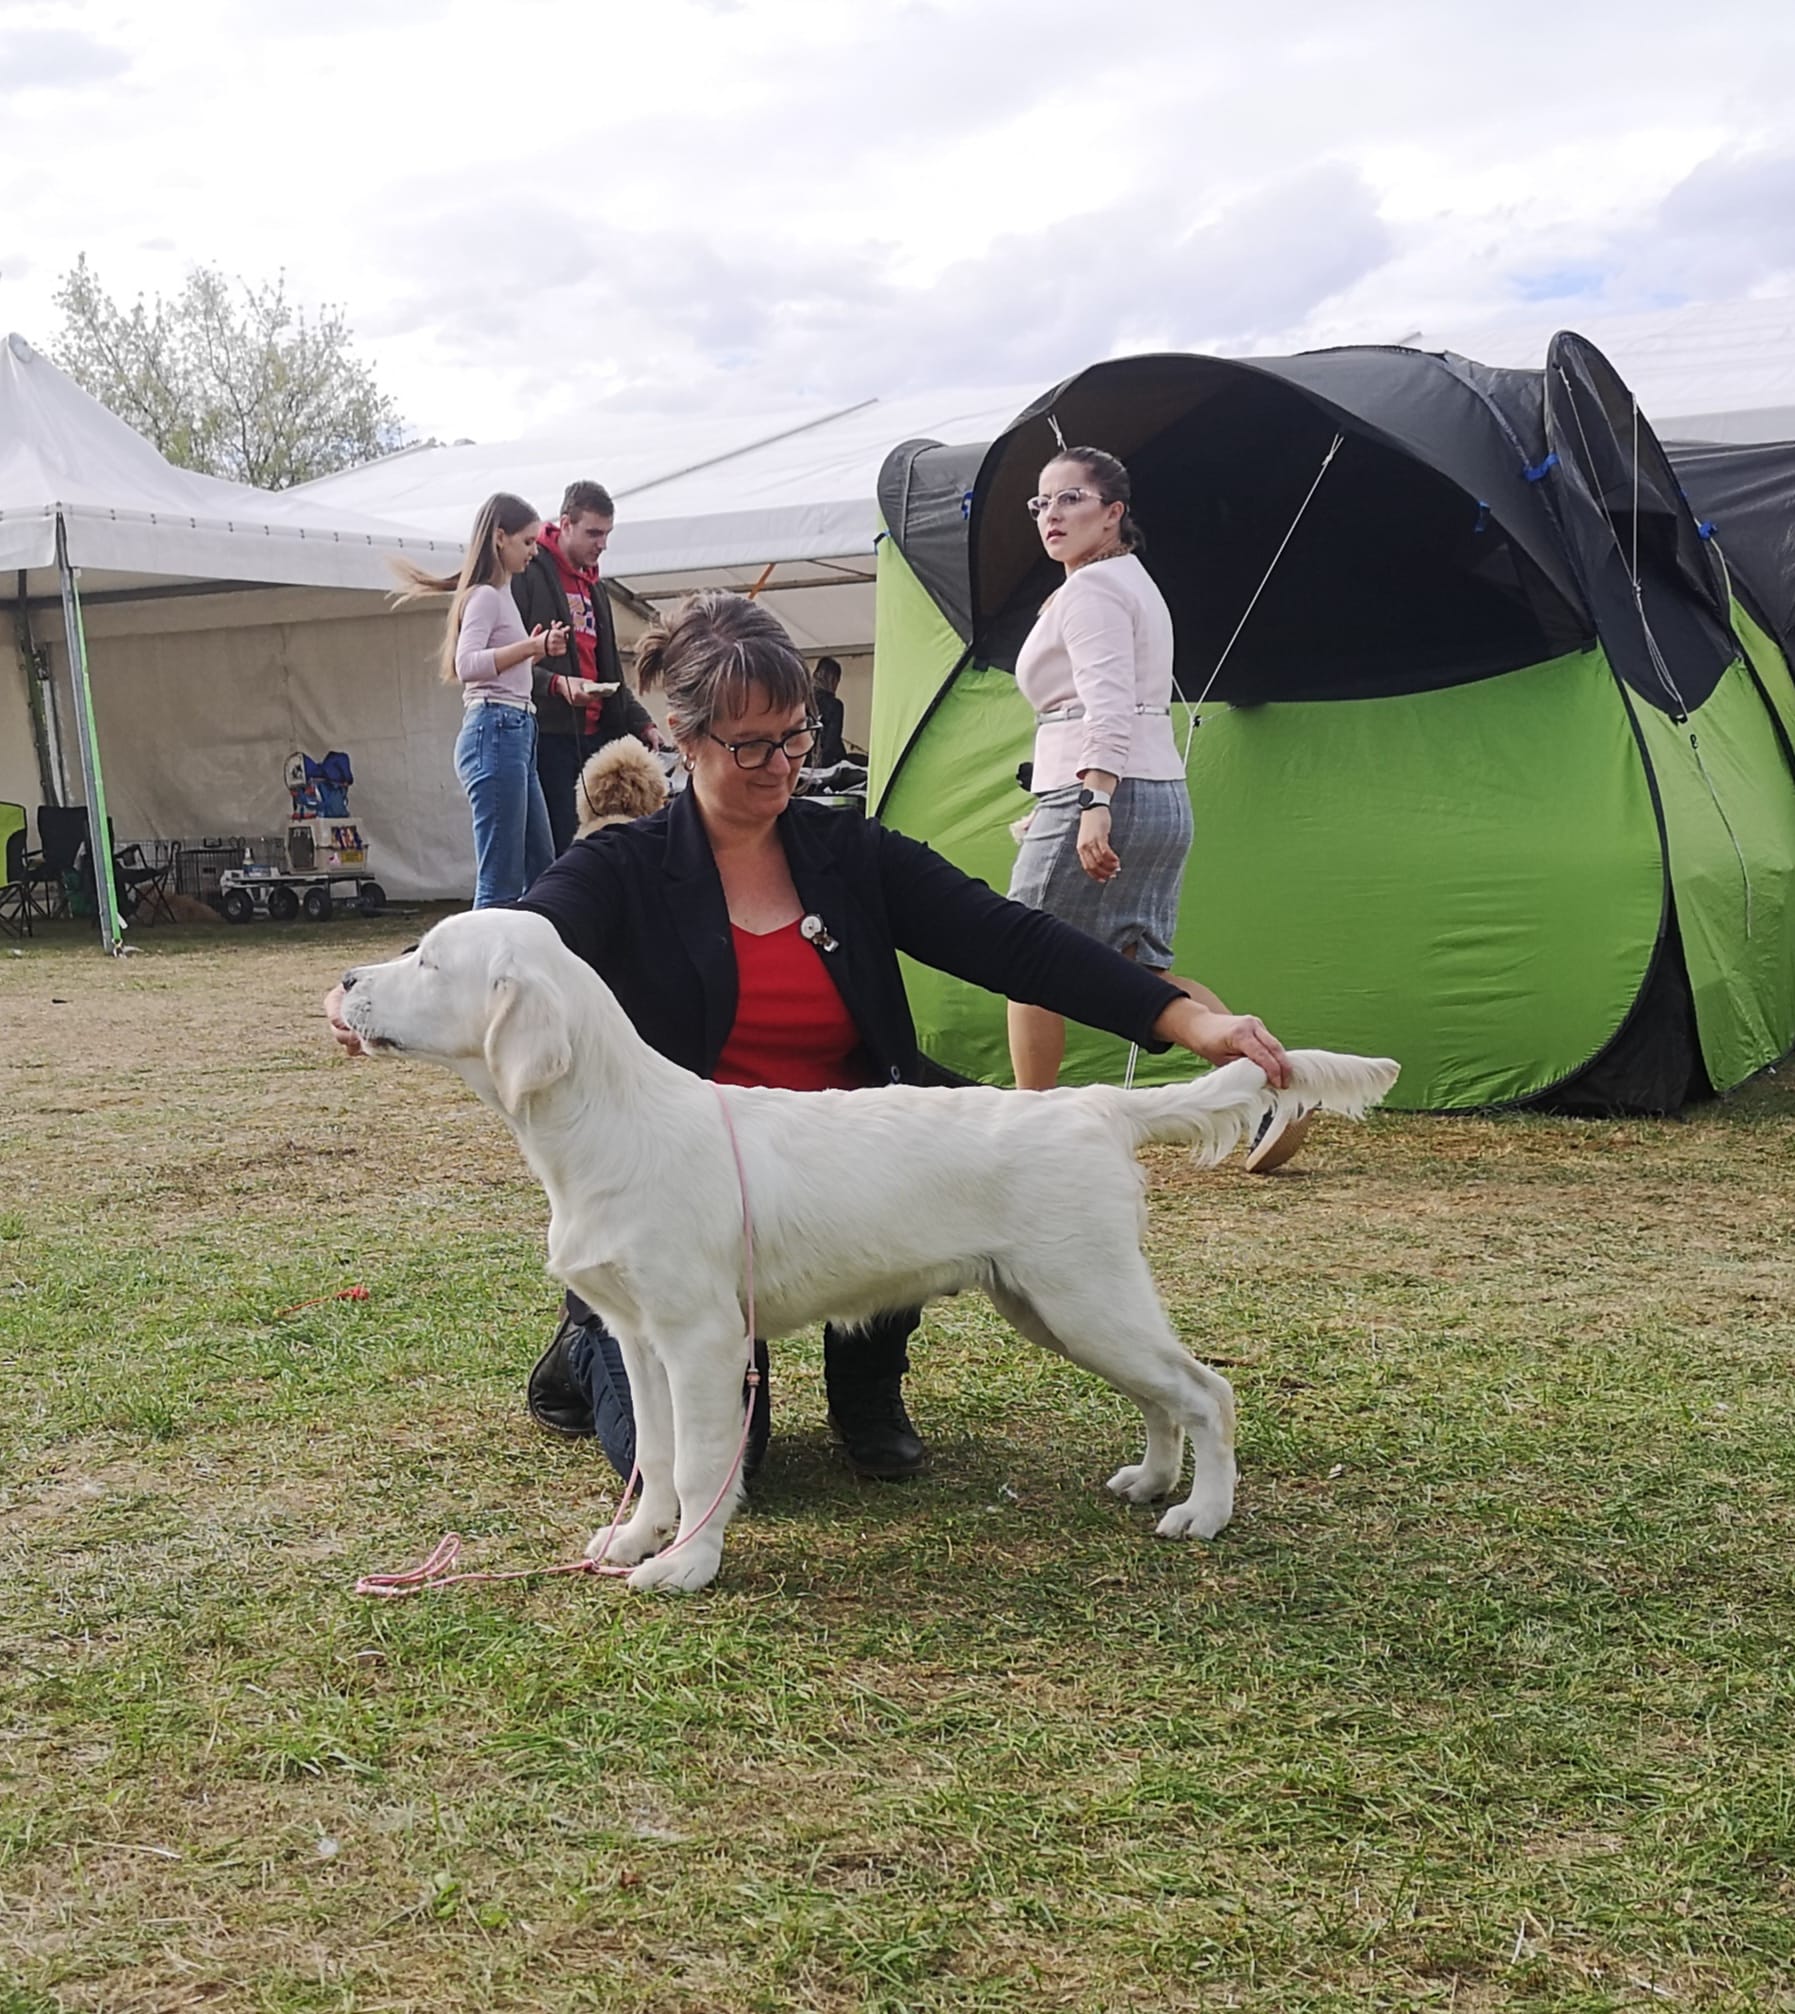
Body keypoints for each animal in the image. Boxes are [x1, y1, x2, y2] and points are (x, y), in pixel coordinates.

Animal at [340, 910, 1402, 1587]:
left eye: (428, 961)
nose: (345, 981)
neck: (608, 1122)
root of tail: (1093, 1104)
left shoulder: (702, 1339)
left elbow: (702, 1463)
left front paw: (688, 1564)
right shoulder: (637, 1338)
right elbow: (658, 1451)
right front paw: (636, 1540)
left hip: (1086, 1296)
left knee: (1205, 1391)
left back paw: (1202, 1513)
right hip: (1054, 1306)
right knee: (1162, 1397)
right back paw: (1149, 1481)